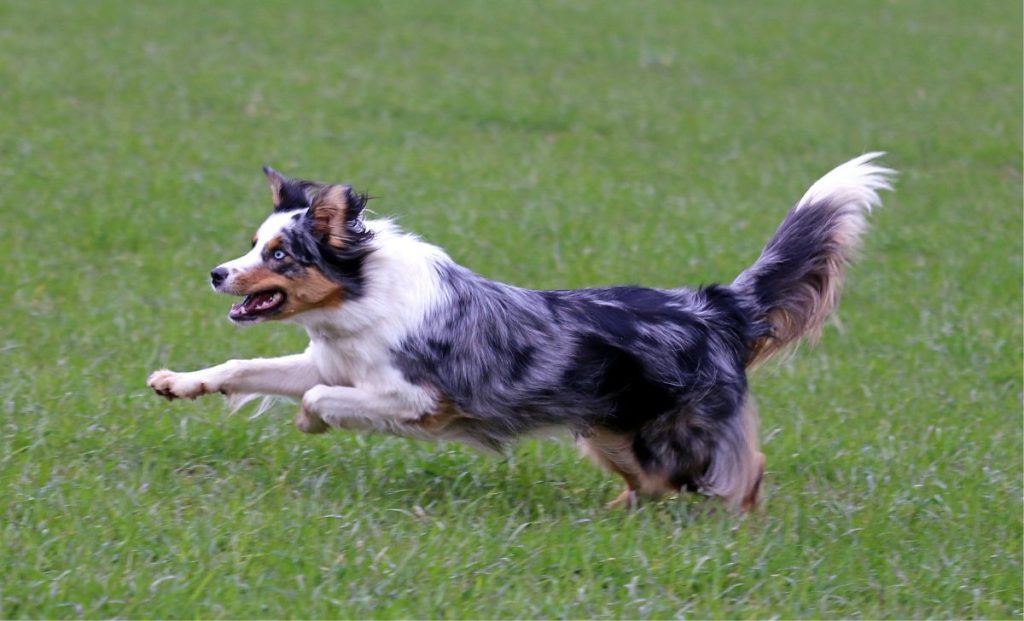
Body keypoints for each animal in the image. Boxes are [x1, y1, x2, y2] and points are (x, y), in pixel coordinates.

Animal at [148, 154, 892, 510]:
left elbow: (316, 400)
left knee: (745, 473)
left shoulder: (418, 398)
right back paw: (614, 515)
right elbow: (245, 368)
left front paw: (312, 424)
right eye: (253, 243)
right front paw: (178, 382)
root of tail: (715, 306)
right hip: (612, 433)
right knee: (654, 483)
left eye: (280, 255)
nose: (217, 273)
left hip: (680, 432)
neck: (360, 296)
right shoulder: (329, 360)